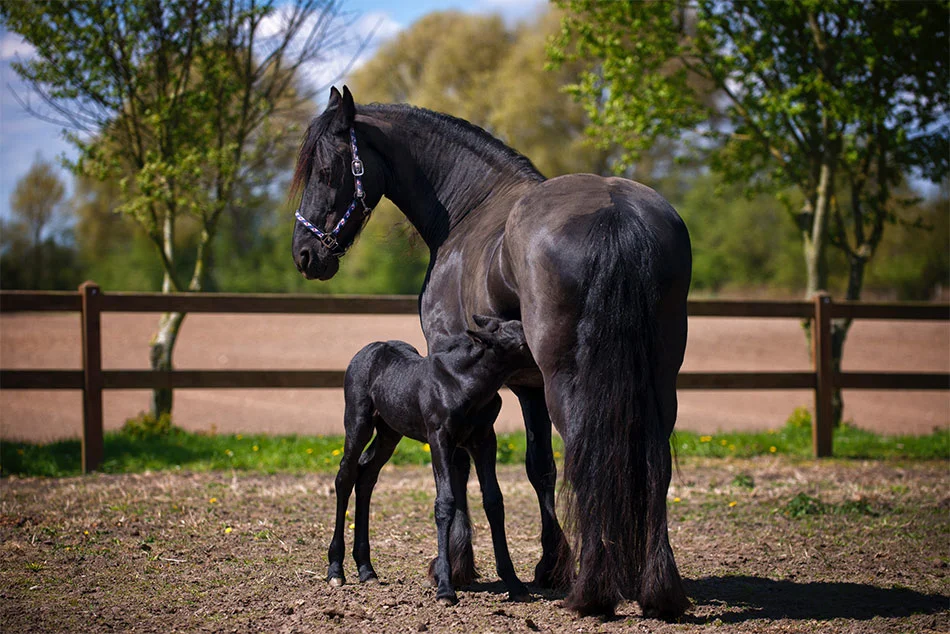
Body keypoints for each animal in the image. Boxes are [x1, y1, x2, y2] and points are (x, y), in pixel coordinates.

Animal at [328, 314, 536, 604]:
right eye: (522, 342)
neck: (464, 383)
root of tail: (367, 350)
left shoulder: (485, 439)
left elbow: (494, 501)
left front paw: (514, 583)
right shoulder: (439, 438)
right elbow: (445, 503)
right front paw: (445, 589)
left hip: (389, 432)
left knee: (366, 475)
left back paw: (367, 569)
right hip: (358, 422)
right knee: (345, 476)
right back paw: (336, 570)